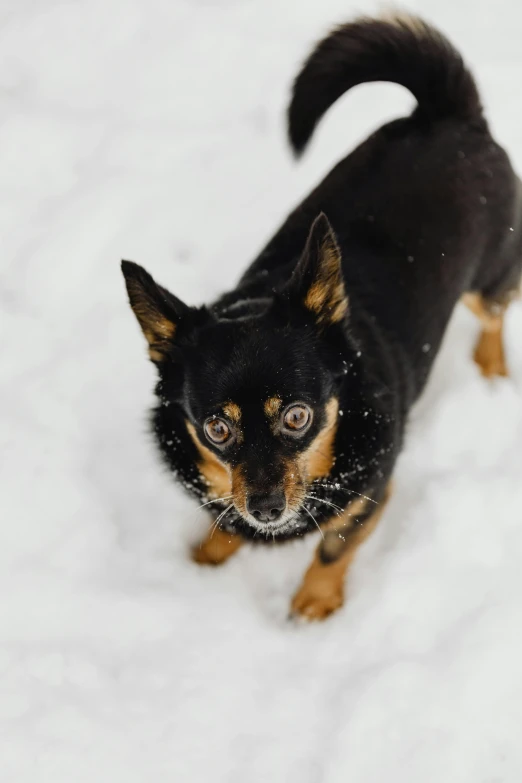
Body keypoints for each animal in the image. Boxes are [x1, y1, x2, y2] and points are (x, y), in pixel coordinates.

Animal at [121, 15, 520, 620]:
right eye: (216, 428)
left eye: (297, 417)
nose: (264, 508)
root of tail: (445, 112)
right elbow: (223, 515)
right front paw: (206, 559)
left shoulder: (371, 494)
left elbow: (335, 546)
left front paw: (313, 605)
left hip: (487, 281)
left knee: (496, 314)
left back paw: (491, 368)